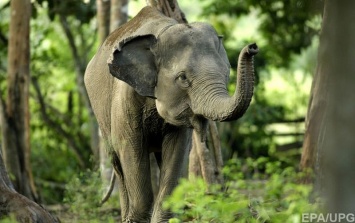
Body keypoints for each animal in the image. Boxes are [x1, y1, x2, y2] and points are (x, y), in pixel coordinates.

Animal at [85, 5, 260, 223]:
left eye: (226, 72)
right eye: (183, 78)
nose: (253, 47)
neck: (162, 33)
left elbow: (176, 151)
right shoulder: (124, 96)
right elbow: (131, 148)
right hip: (101, 115)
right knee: (117, 164)